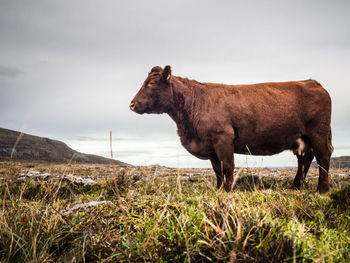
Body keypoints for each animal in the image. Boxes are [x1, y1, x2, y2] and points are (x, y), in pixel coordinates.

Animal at [130, 66, 332, 194]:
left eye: (151, 83)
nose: (131, 104)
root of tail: (312, 82)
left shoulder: (223, 138)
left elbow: (228, 166)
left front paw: (228, 190)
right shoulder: (210, 145)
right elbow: (217, 170)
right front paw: (218, 189)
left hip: (318, 134)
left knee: (322, 157)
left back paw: (321, 190)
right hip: (303, 139)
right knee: (304, 160)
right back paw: (296, 187)